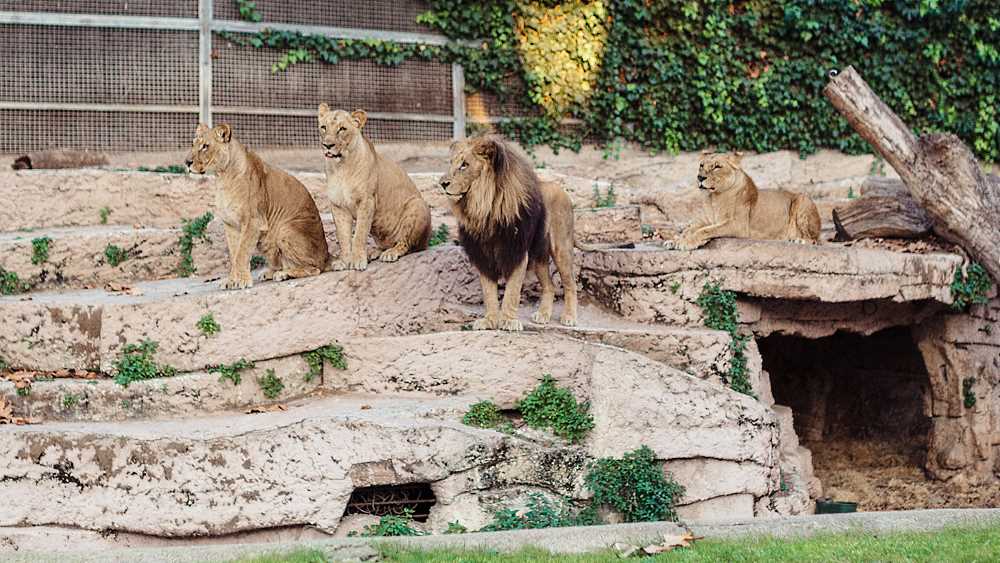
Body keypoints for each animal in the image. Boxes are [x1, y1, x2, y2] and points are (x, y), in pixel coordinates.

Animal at [186, 124, 330, 290]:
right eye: (193, 144)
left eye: (205, 146)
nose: (187, 162)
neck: (222, 177)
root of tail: (327, 256)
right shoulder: (230, 225)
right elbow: (234, 255)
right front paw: (231, 281)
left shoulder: (253, 221)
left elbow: (241, 253)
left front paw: (242, 281)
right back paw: (271, 272)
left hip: (284, 229)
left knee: (315, 268)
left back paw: (284, 274)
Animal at [318, 108, 432, 274]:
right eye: (323, 127)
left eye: (342, 129)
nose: (327, 145)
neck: (341, 167)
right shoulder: (338, 206)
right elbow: (343, 236)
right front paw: (344, 260)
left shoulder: (367, 201)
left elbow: (359, 233)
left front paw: (357, 260)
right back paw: (374, 252)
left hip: (418, 205)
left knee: (407, 244)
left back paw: (390, 253)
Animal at [440, 135, 580, 332]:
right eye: (451, 163)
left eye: (464, 165)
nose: (442, 183)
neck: (483, 208)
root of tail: (561, 189)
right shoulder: (483, 256)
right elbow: (489, 293)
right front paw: (490, 321)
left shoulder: (516, 251)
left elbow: (512, 292)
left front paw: (508, 321)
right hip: (538, 256)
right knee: (550, 286)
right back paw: (543, 315)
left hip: (561, 248)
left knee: (570, 284)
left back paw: (569, 317)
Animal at [676, 154, 824, 251]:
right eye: (701, 165)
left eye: (717, 167)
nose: (700, 177)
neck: (714, 197)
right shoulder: (708, 220)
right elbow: (692, 228)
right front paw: (677, 239)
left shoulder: (737, 225)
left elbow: (706, 230)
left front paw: (686, 242)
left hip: (803, 200)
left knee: (815, 240)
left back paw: (798, 240)